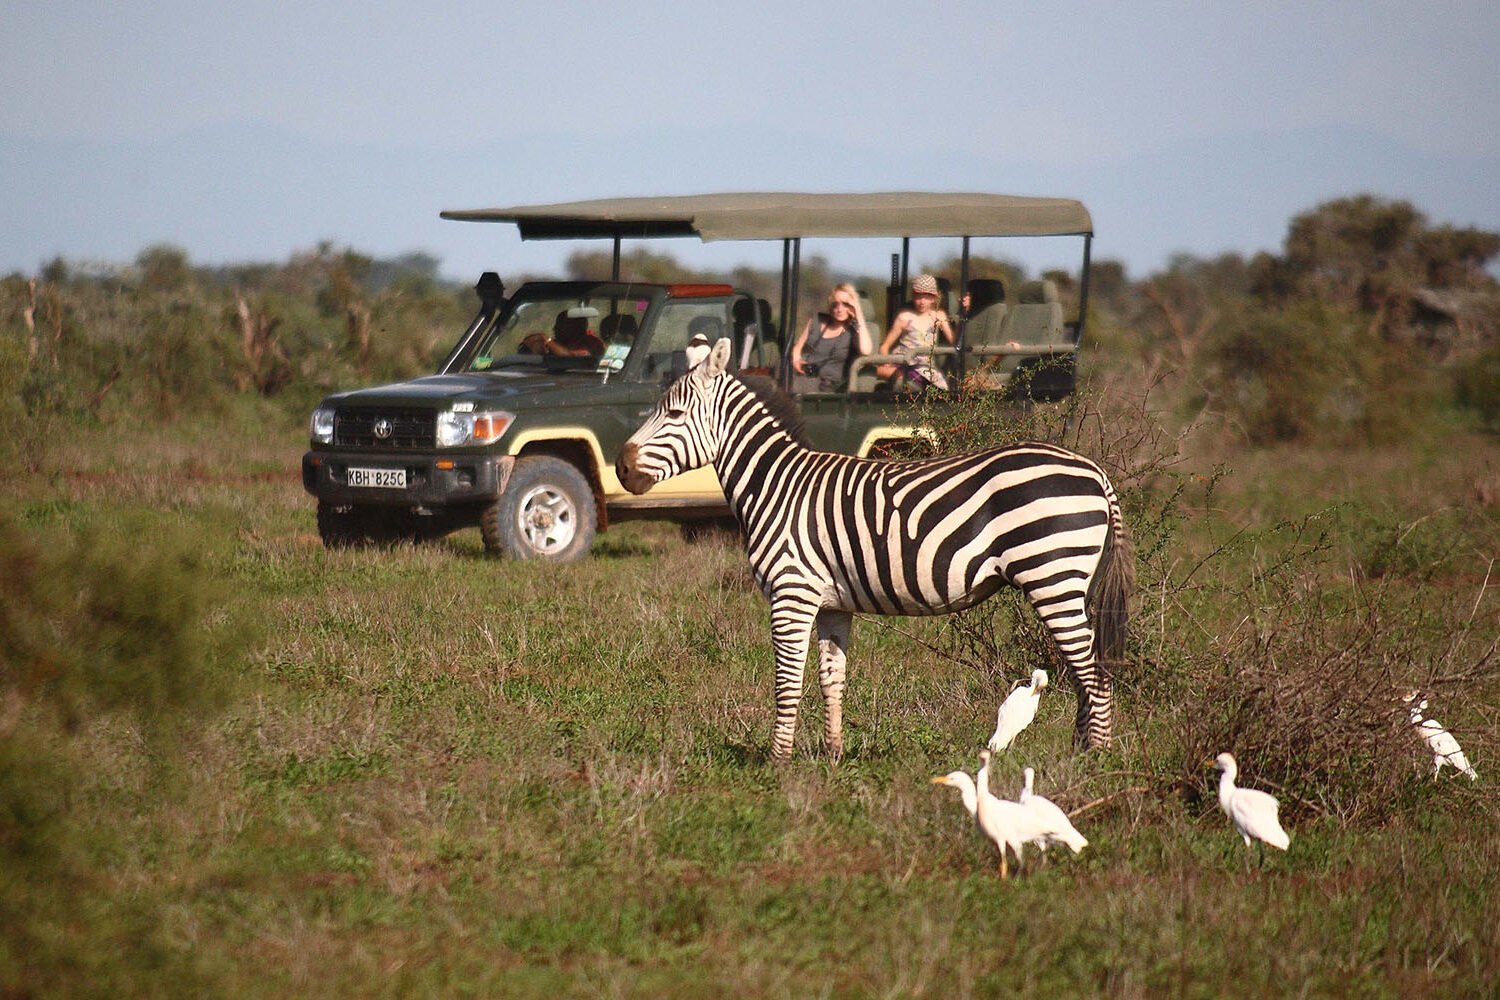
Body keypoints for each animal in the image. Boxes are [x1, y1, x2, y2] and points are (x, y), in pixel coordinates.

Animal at [615, 340, 1128, 761]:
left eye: (673, 416)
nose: (620, 468)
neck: (777, 486)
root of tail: (1093, 469)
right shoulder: (831, 604)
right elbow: (831, 679)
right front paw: (833, 755)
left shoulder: (791, 593)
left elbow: (786, 683)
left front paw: (778, 763)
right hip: (1070, 581)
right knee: (1088, 670)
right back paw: (1079, 750)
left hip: (1052, 575)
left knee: (1095, 674)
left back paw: (1095, 761)